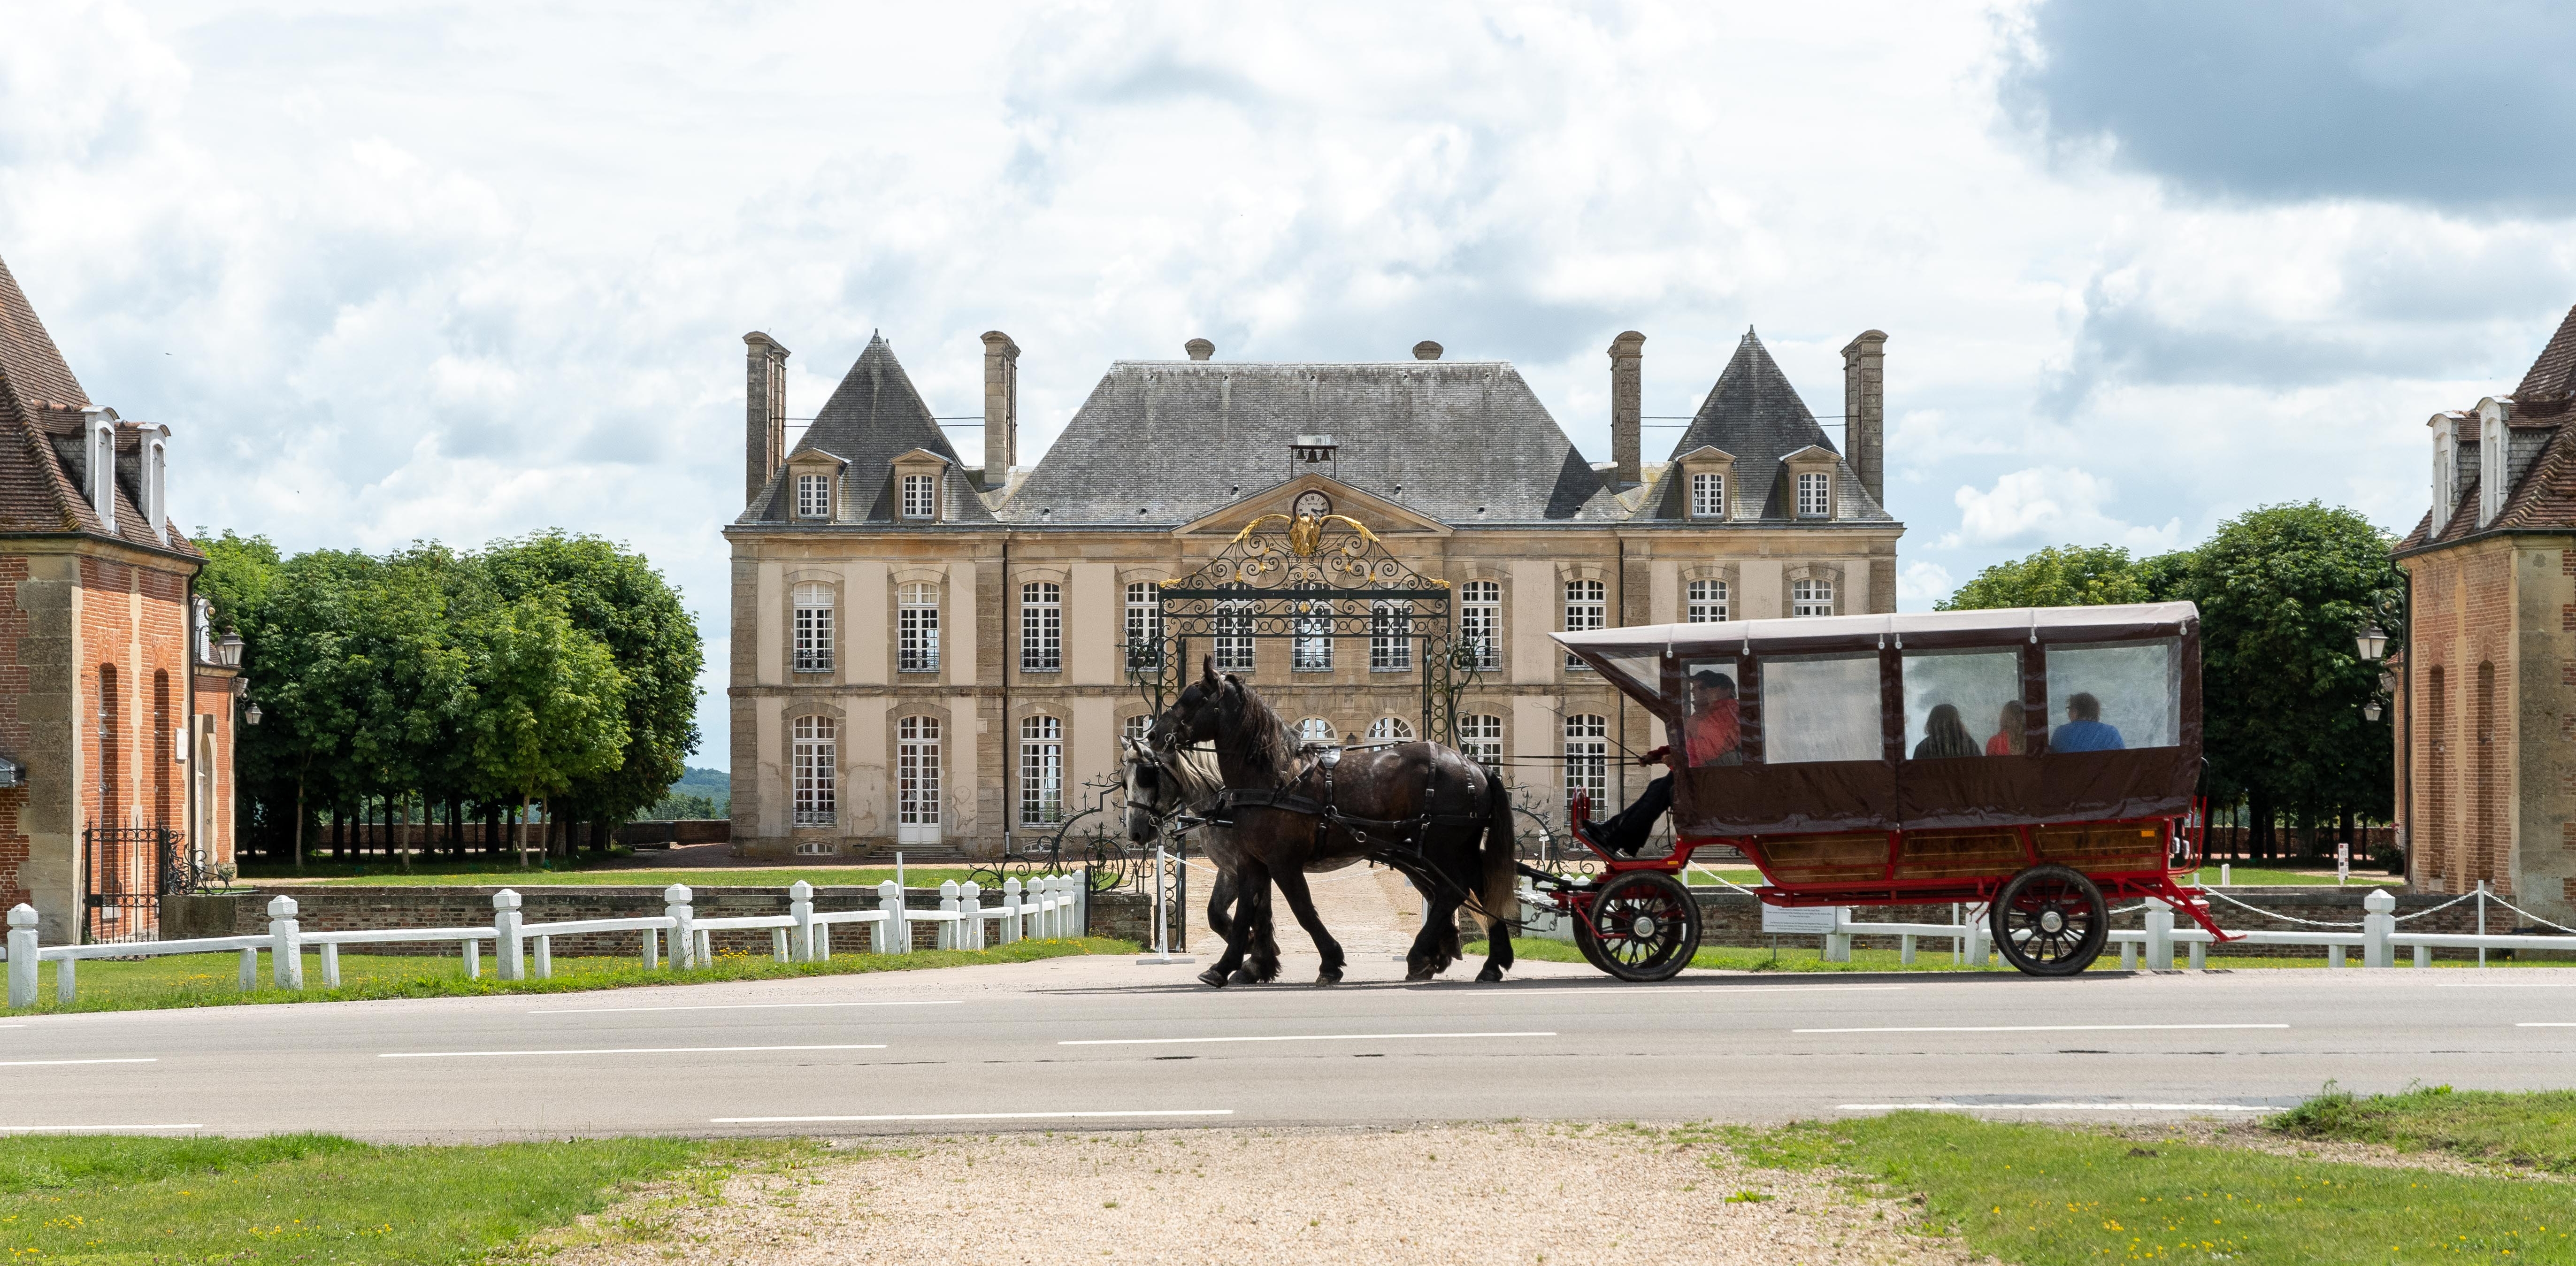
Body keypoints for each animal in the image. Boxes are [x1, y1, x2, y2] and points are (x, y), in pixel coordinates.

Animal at [1149, 665, 1504, 990]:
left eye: (1196, 699)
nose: (1153, 735)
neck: (1275, 778)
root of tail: (1474, 765)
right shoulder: (1251, 863)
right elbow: (1245, 917)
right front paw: (1228, 967)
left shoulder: (1282, 863)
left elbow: (1303, 911)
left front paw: (1330, 962)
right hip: (1446, 853)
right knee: (1476, 891)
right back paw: (1488, 963)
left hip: (1443, 851)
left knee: (1453, 892)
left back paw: (1425, 956)